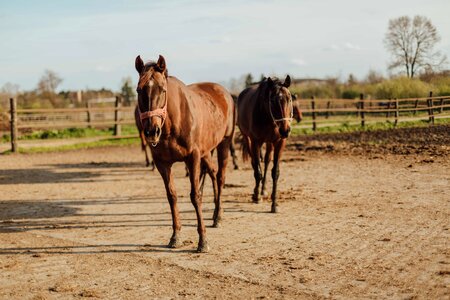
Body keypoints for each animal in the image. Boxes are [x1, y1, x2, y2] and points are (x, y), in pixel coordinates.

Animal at [134, 54, 236, 253]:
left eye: (163, 89)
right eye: (138, 90)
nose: (151, 131)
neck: (173, 122)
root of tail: (225, 93)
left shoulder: (193, 158)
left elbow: (195, 196)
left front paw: (203, 241)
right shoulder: (162, 163)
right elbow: (171, 196)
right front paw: (176, 236)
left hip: (224, 144)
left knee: (220, 176)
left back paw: (218, 216)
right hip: (207, 151)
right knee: (213, 173)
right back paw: (215, 214)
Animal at [237, 76, 294, 214]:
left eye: (289, 98)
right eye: (272, 100)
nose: (285, 130)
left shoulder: (279, 142)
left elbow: (275, 172)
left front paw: (274, 203)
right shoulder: (255, 141)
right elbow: (258, 171)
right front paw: (257, 196)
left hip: (269, 143)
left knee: (267, 161)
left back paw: (264, 190)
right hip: (248, 139)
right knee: (254, 162)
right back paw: (256, 192)